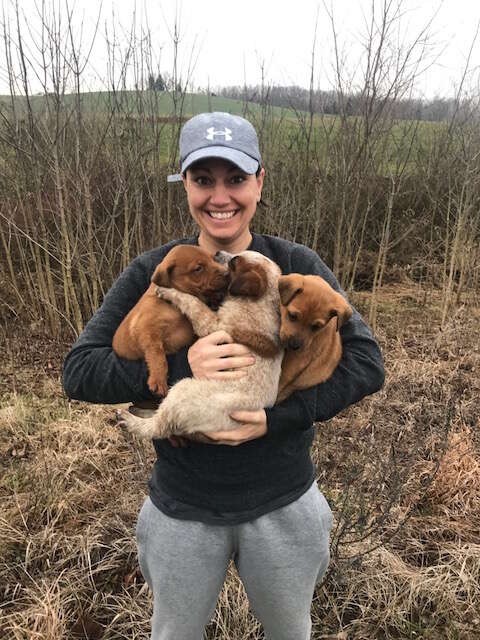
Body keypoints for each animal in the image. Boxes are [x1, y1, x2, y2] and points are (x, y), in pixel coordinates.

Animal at [113, 244, 232, 396]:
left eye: (213, 259)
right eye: (198, 268)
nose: (227, 273)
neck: (173, 308)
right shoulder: (147, 331)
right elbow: (158, 356)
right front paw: (158, 380)